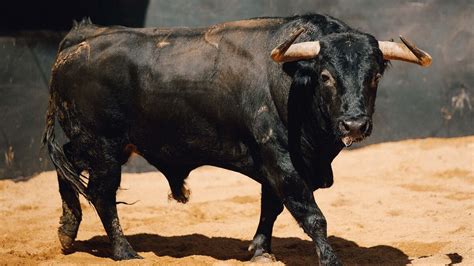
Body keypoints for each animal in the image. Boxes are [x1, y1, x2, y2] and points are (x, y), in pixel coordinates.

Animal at [42, 14, 432, 264]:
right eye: (325, 76)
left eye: (375, 76)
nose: (354, 125)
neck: (292, 79)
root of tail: (78, 39)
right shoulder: (280, 158)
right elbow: (310, 214)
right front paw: (329, 259)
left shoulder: (277, 164)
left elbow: (271, 207)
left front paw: (260, 251)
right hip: (103, 146)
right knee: (102, 194)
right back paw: (124, 252)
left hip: (92, 143)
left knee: (66, 167)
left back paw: (66, 232)